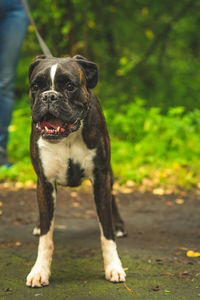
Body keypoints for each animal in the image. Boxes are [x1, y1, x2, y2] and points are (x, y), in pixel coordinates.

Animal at [25, 55, 126, 288]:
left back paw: (119, 224)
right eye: (36, 86)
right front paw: (40, 270)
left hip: (109, 175)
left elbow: (106, 231)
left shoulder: (100, 178)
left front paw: (113, 266)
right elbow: (46, 236)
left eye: (70, 86)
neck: (68, 138)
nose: (49, 96)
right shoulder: (44, 182)